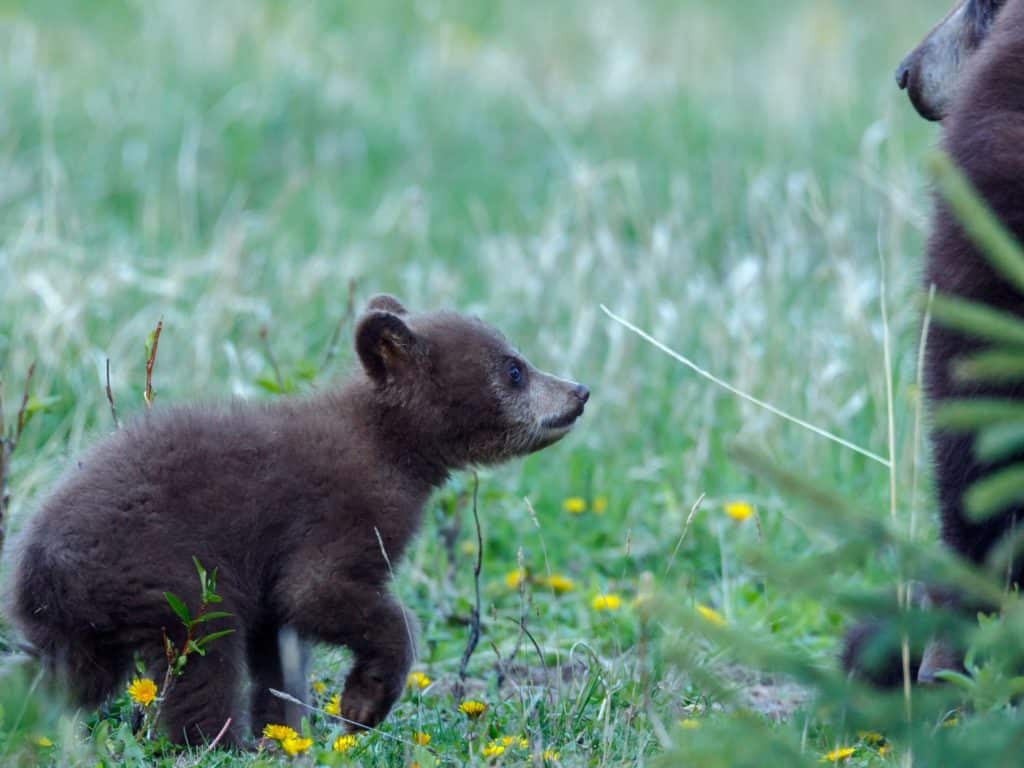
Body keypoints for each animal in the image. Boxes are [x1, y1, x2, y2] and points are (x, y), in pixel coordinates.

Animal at [3, 294, 590, 747]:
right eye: (514, 368)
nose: (579, 392)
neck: (390, 444)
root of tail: (37, 568)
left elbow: (280, 648)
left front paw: (286, 734)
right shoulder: (341, 512)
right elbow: (316, 593)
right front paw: (363, 702)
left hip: (82, 630)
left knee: (62, 678)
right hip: (165, 577)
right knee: (205, 660)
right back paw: (216, 744)